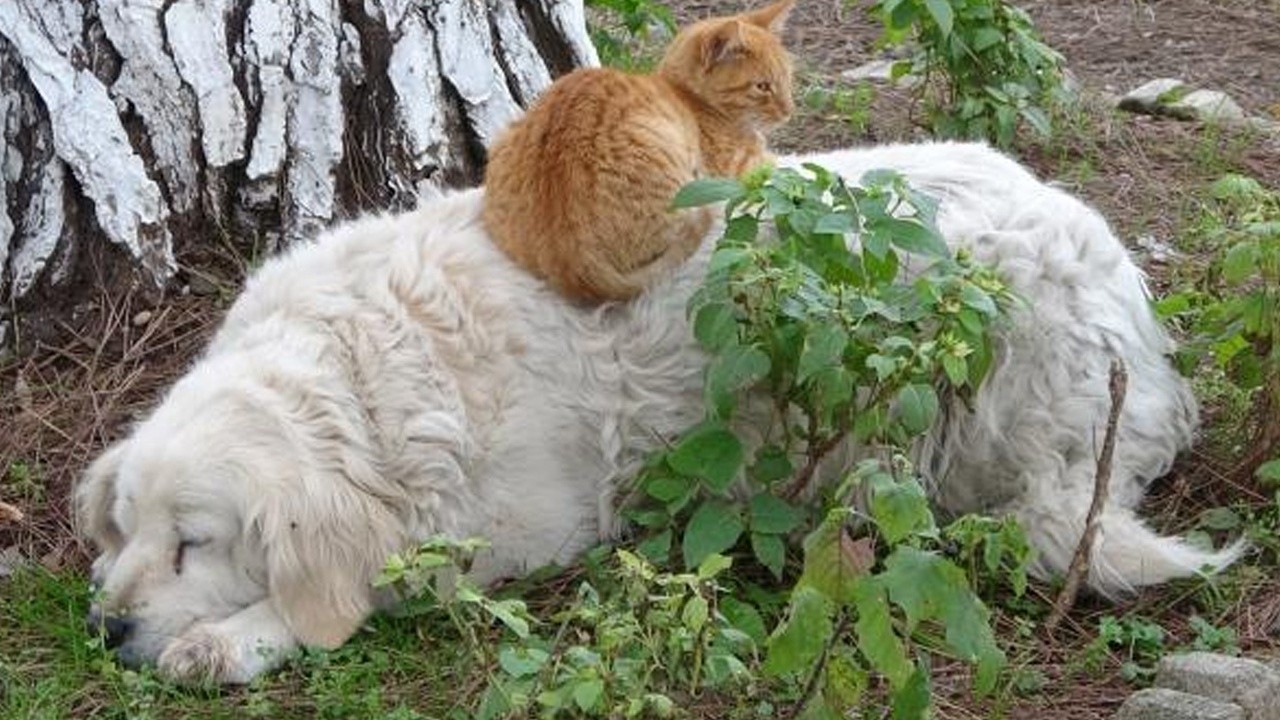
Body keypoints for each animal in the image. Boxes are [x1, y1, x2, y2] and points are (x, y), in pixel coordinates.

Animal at [77, 141, 1239, 681]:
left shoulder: (511, 532)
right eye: (126, 531)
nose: (106, 626)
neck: (357, 379)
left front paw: (233, 638)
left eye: (194, 543)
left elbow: (355, 591)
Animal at [483, 0, 793, 301]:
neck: (687, 96)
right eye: (762, 86)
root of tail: (571, 261)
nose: (790, 111)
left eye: (788, 80)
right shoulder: (743, 168)